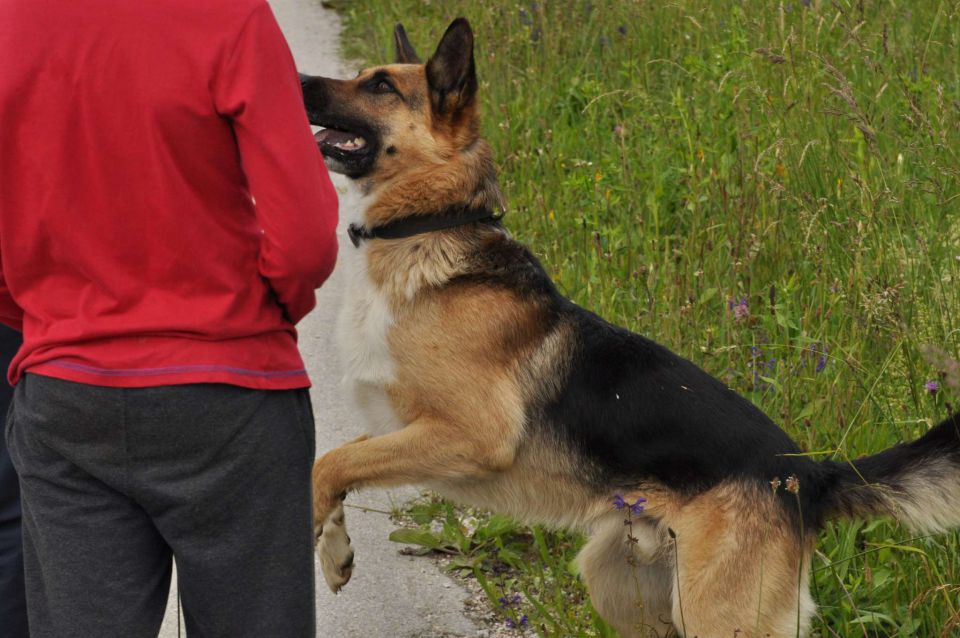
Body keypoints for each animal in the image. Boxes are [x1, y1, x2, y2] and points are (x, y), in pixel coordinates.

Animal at [298, 17, 960, 636]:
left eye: (380, 86)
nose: (298, 79)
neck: (430, 224)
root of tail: (809, 475)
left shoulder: (469, 434)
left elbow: (326, 463)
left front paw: (319, 540)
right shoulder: (409, 431)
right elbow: (339, 457)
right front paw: (335, 550)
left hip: (717, 613)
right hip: (621, 580)